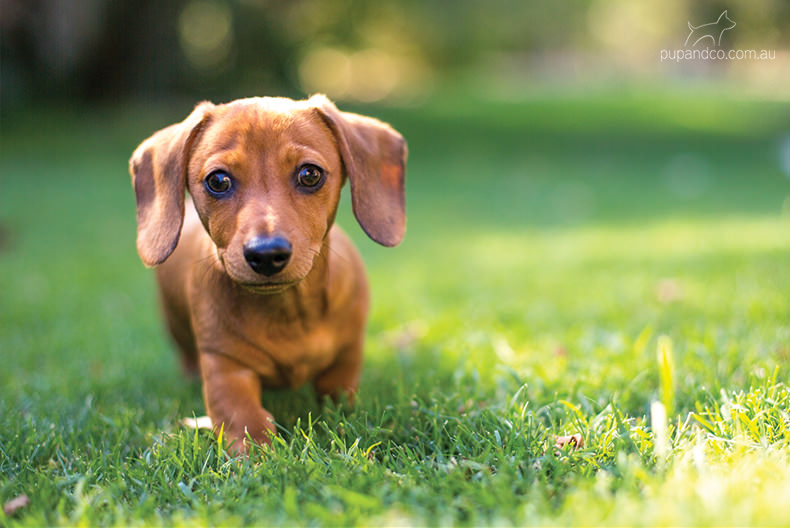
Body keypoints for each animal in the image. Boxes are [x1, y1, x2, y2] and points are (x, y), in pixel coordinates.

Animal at [130, 94, 408, 450]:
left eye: (310, 174)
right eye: (218, 180)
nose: (266, 255)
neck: (287, 313)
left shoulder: (347, 354)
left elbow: (338, 394)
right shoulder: (226, 368)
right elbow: (246, 419)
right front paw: (260, 453)